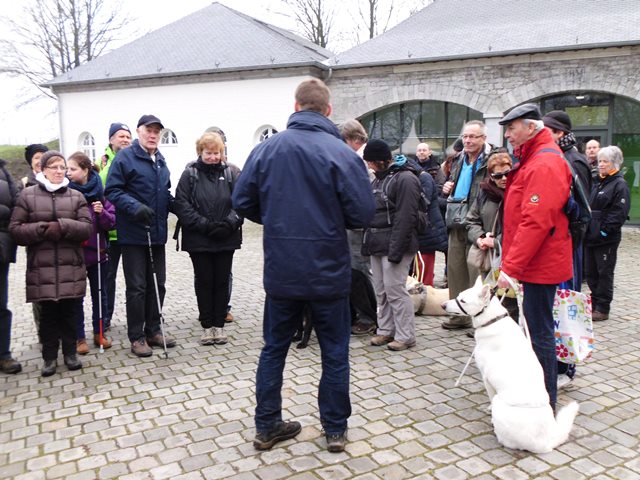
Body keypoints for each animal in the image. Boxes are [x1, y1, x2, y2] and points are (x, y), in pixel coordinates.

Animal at [442, 278, 576, 454]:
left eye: (463, 301)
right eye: (458, 296)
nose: (443, 305)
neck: (491, 320)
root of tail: (548, 441)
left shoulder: (486, 379)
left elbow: (490, 397)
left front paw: (489, 409)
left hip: (500, 403)